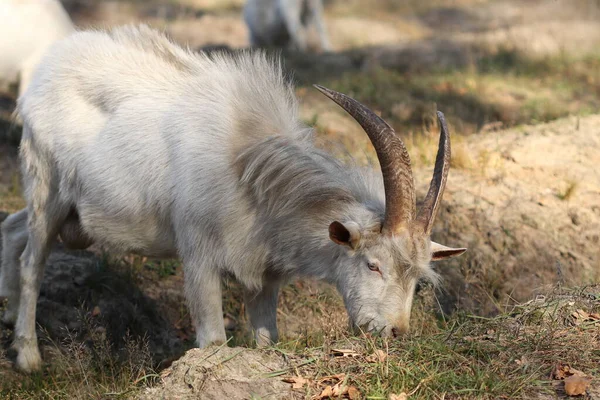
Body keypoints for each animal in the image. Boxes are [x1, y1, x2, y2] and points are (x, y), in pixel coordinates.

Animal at [0, 25, 466, 372]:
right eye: (373, 264)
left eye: (418, 278)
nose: (394, 333)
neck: (247, 166)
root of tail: (47, 69)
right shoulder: (199, 259)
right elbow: (213, 340)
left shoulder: (265, 275)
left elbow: (267, 340)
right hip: (47, 188)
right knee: (32, 260)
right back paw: (28, 357)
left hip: (69, 213)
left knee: (11, 228)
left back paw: (6, 314)